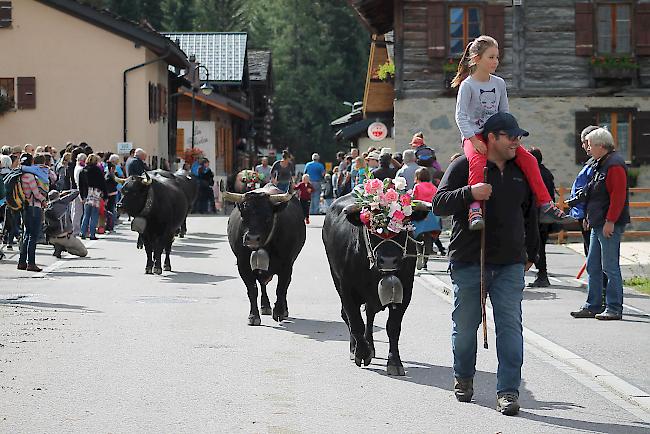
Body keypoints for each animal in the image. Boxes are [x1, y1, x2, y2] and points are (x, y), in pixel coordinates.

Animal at [224, 186, 306, 326]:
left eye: (267, 217)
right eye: (243, 215)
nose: (252, 239)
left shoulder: (287, 265)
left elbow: (281, 288)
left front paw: (279, 312)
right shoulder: (243, 265)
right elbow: (252, 290)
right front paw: (253, 316)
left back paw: (283, 309)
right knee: (262, 284)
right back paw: (265, 306)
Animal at [320, 175, 430, 374]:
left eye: (403, 224)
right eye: (371, 225)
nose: (388, 260)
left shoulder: (405, 289)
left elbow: (393, 326)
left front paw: (394, 362)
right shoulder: (346, 288)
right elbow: (354, 320)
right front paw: (361, 353)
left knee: (370, 315)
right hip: (336, 278)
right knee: (348, 316)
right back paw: (356, 347)